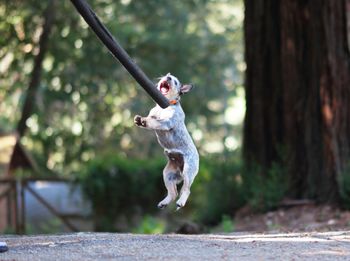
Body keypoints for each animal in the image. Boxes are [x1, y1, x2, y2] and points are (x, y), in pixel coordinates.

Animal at [134, 73, 200, 209]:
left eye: (175, 82)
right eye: (167, 75)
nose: (168, 77)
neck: (163, 107)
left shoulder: (167, 122)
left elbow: (155, 122)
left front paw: (145, 121)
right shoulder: (154, 114)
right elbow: (151, 118)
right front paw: (140, 120)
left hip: (188, 170)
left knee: (186, 190)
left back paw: (181, 202)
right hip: (168, 174)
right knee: (173, 192)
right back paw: (164, 202)